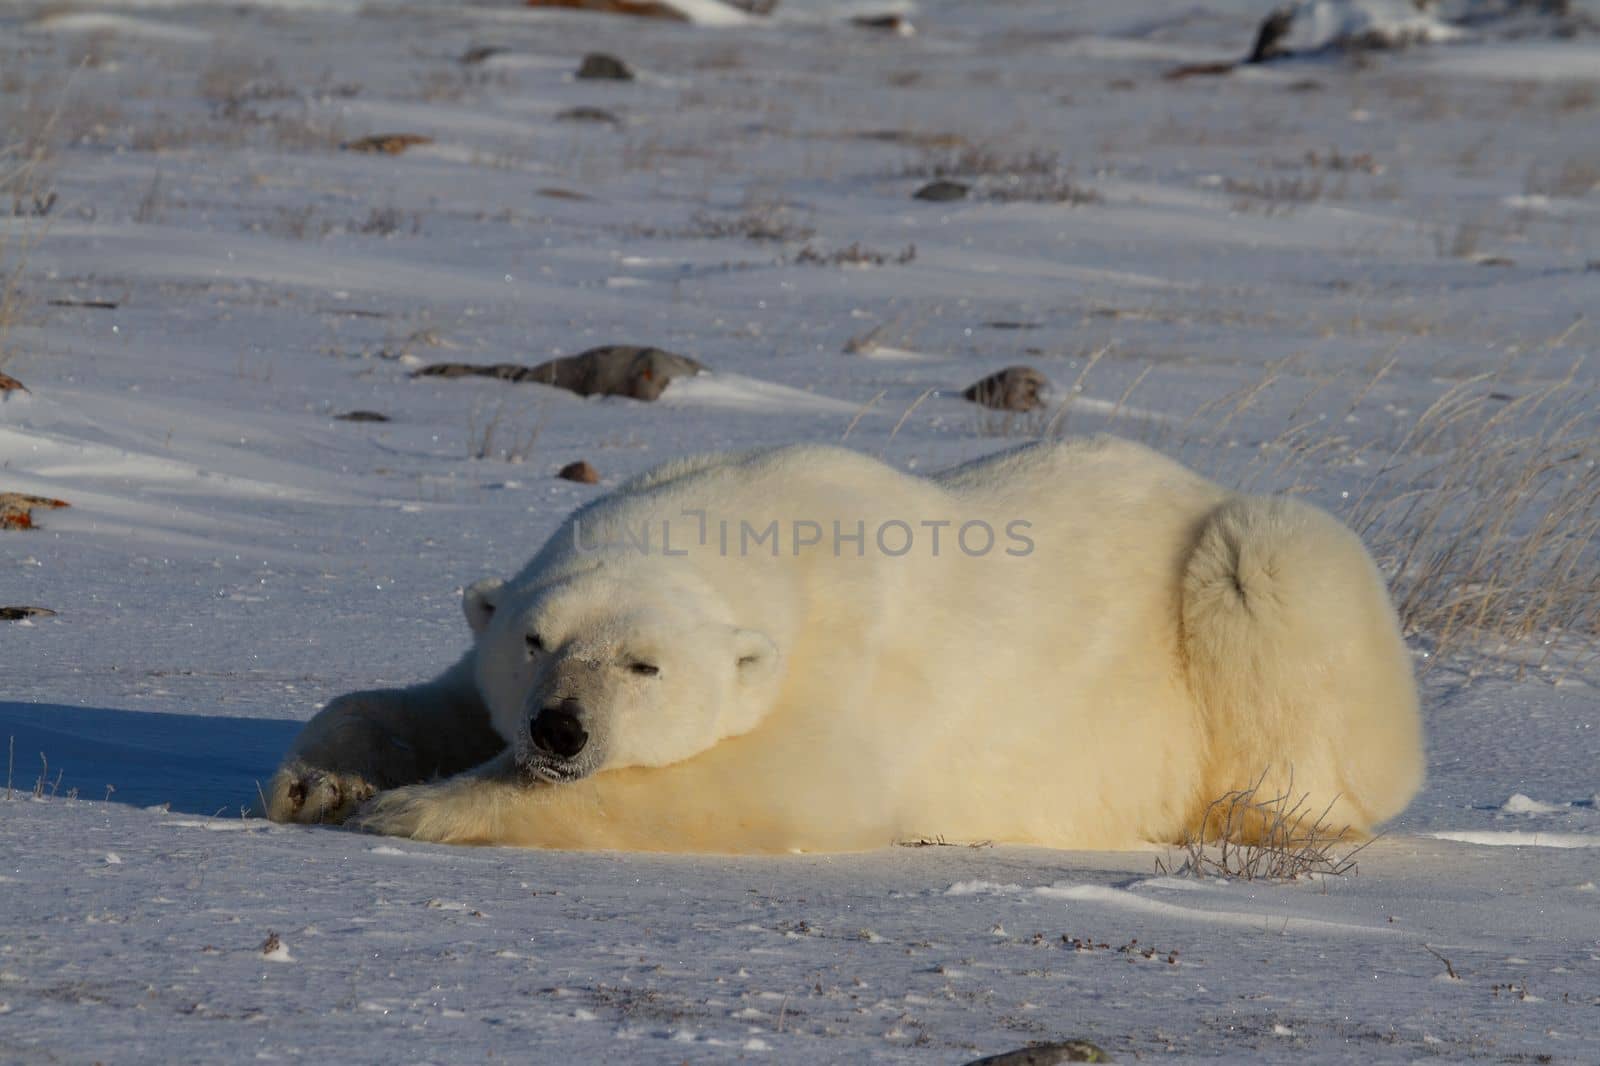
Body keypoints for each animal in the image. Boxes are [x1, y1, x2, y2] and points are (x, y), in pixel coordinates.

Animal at [265, 435, 1427, 851]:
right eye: (536, 640)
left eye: (645, 665)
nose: (559, 731)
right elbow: (432, 697)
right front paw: (318, 780)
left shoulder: (856, 656)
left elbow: (780, 786)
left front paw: (415, 808)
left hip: (1261, 573)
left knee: (1273, 577)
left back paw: (1254, 814)